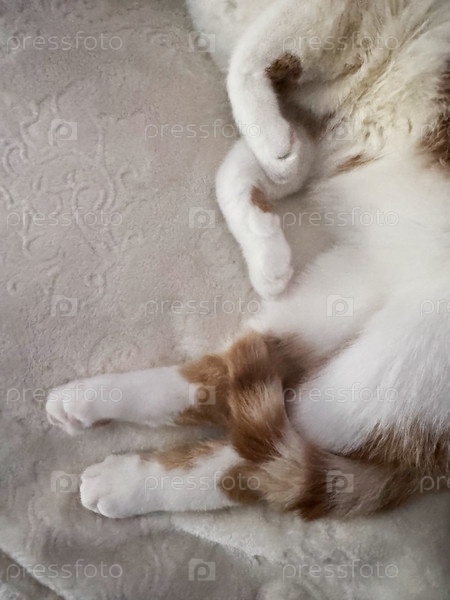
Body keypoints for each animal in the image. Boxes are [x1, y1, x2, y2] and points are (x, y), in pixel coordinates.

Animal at [46, 0, 450, 519]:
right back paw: (95, 403)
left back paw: (127, 480)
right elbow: (240, 169)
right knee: (226, 385)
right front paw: (265, 250)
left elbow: (246, 63)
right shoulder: (308, 119)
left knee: (254, 466)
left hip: (398, 371)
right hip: (343, 294)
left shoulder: (317, 19)